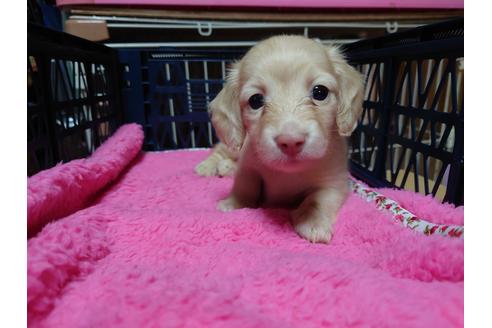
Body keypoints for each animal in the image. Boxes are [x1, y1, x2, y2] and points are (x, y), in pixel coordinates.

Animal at [197, 35, 366, 243]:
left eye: (320, 92)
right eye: (255, 100)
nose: (291, 142)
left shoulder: (336, 181)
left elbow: (319, 198)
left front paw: (313, 222)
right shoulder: (248, 167)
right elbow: (245, 186)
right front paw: (233, 203)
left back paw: (226, 167)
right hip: (234, 147)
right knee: (219, 149)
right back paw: (207, 166)